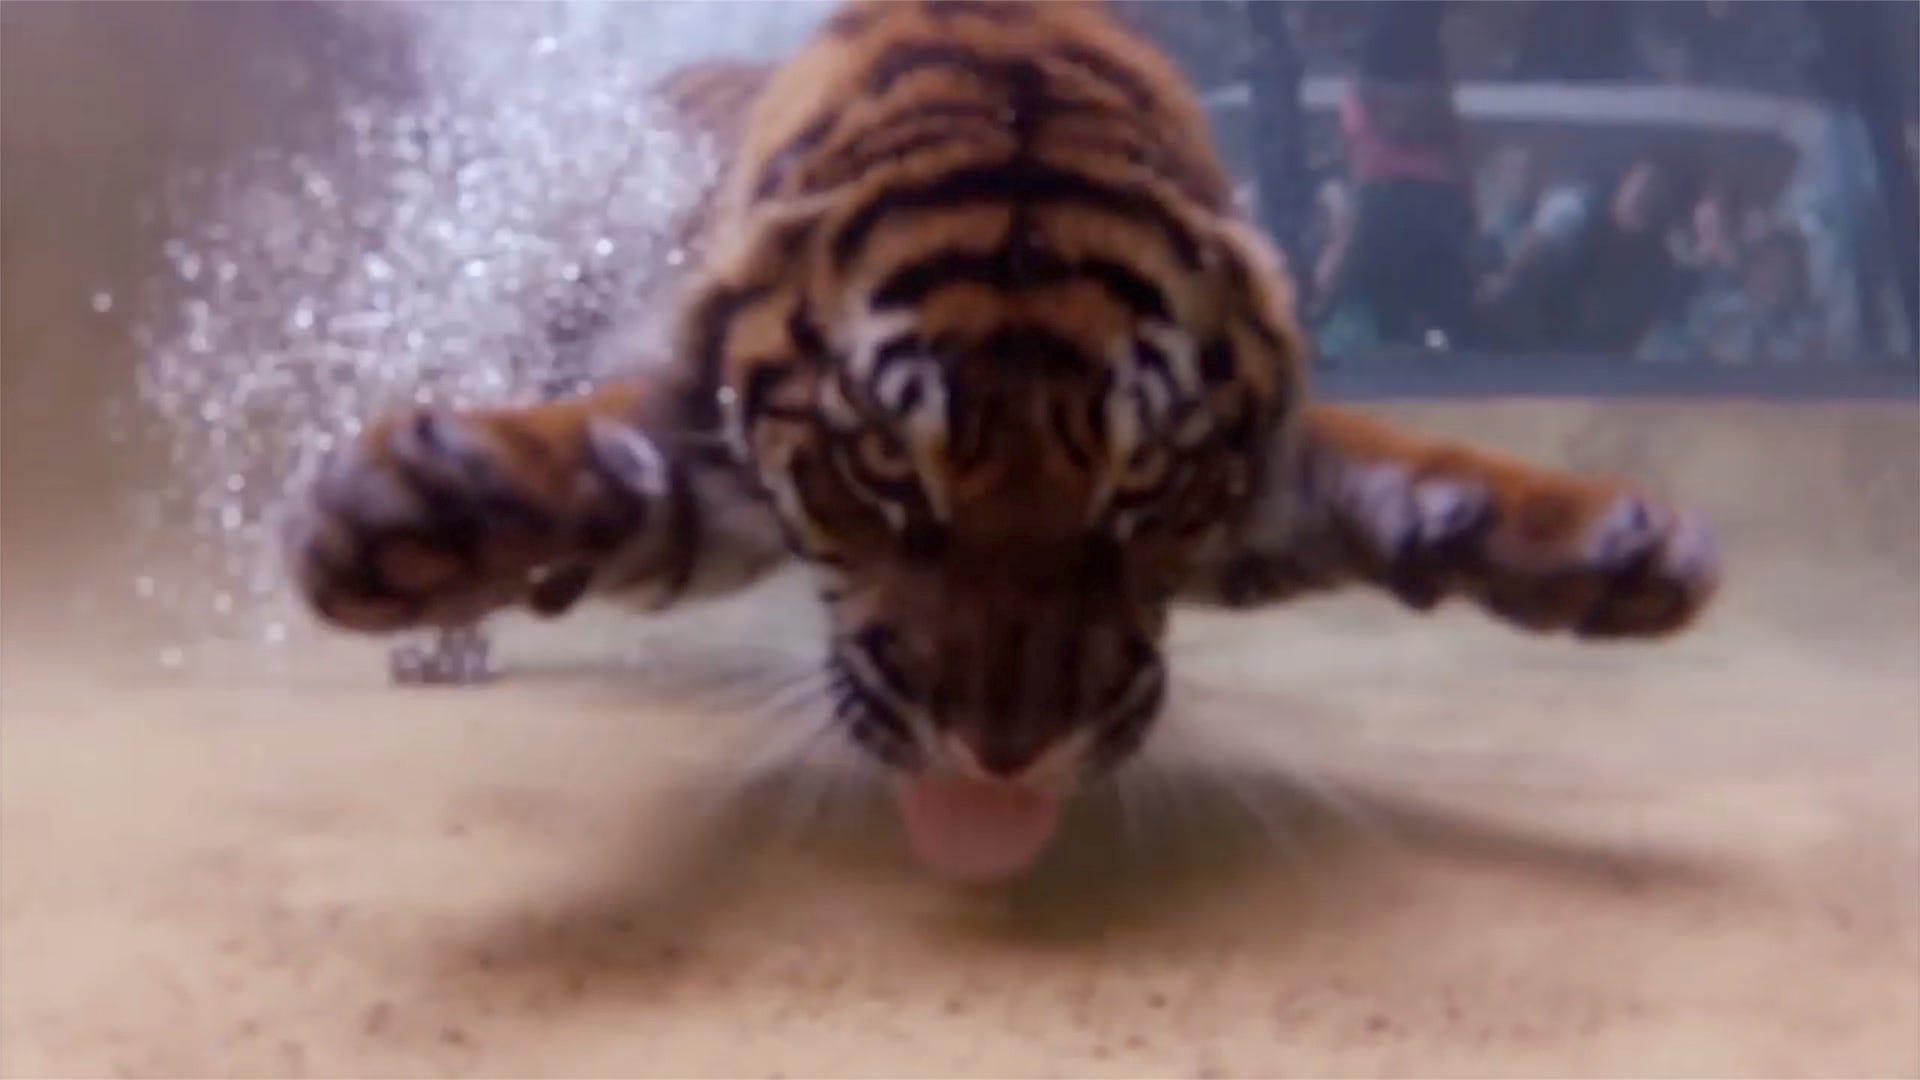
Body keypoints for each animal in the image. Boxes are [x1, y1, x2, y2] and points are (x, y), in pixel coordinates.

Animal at [289, 0, 1719, 880]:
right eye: (881, 469)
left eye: (1144, 484)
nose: (1008, 756)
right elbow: (590, 456)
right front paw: (408, 520)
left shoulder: (1255, 482)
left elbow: (1418, 469)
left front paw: (1619, 553)